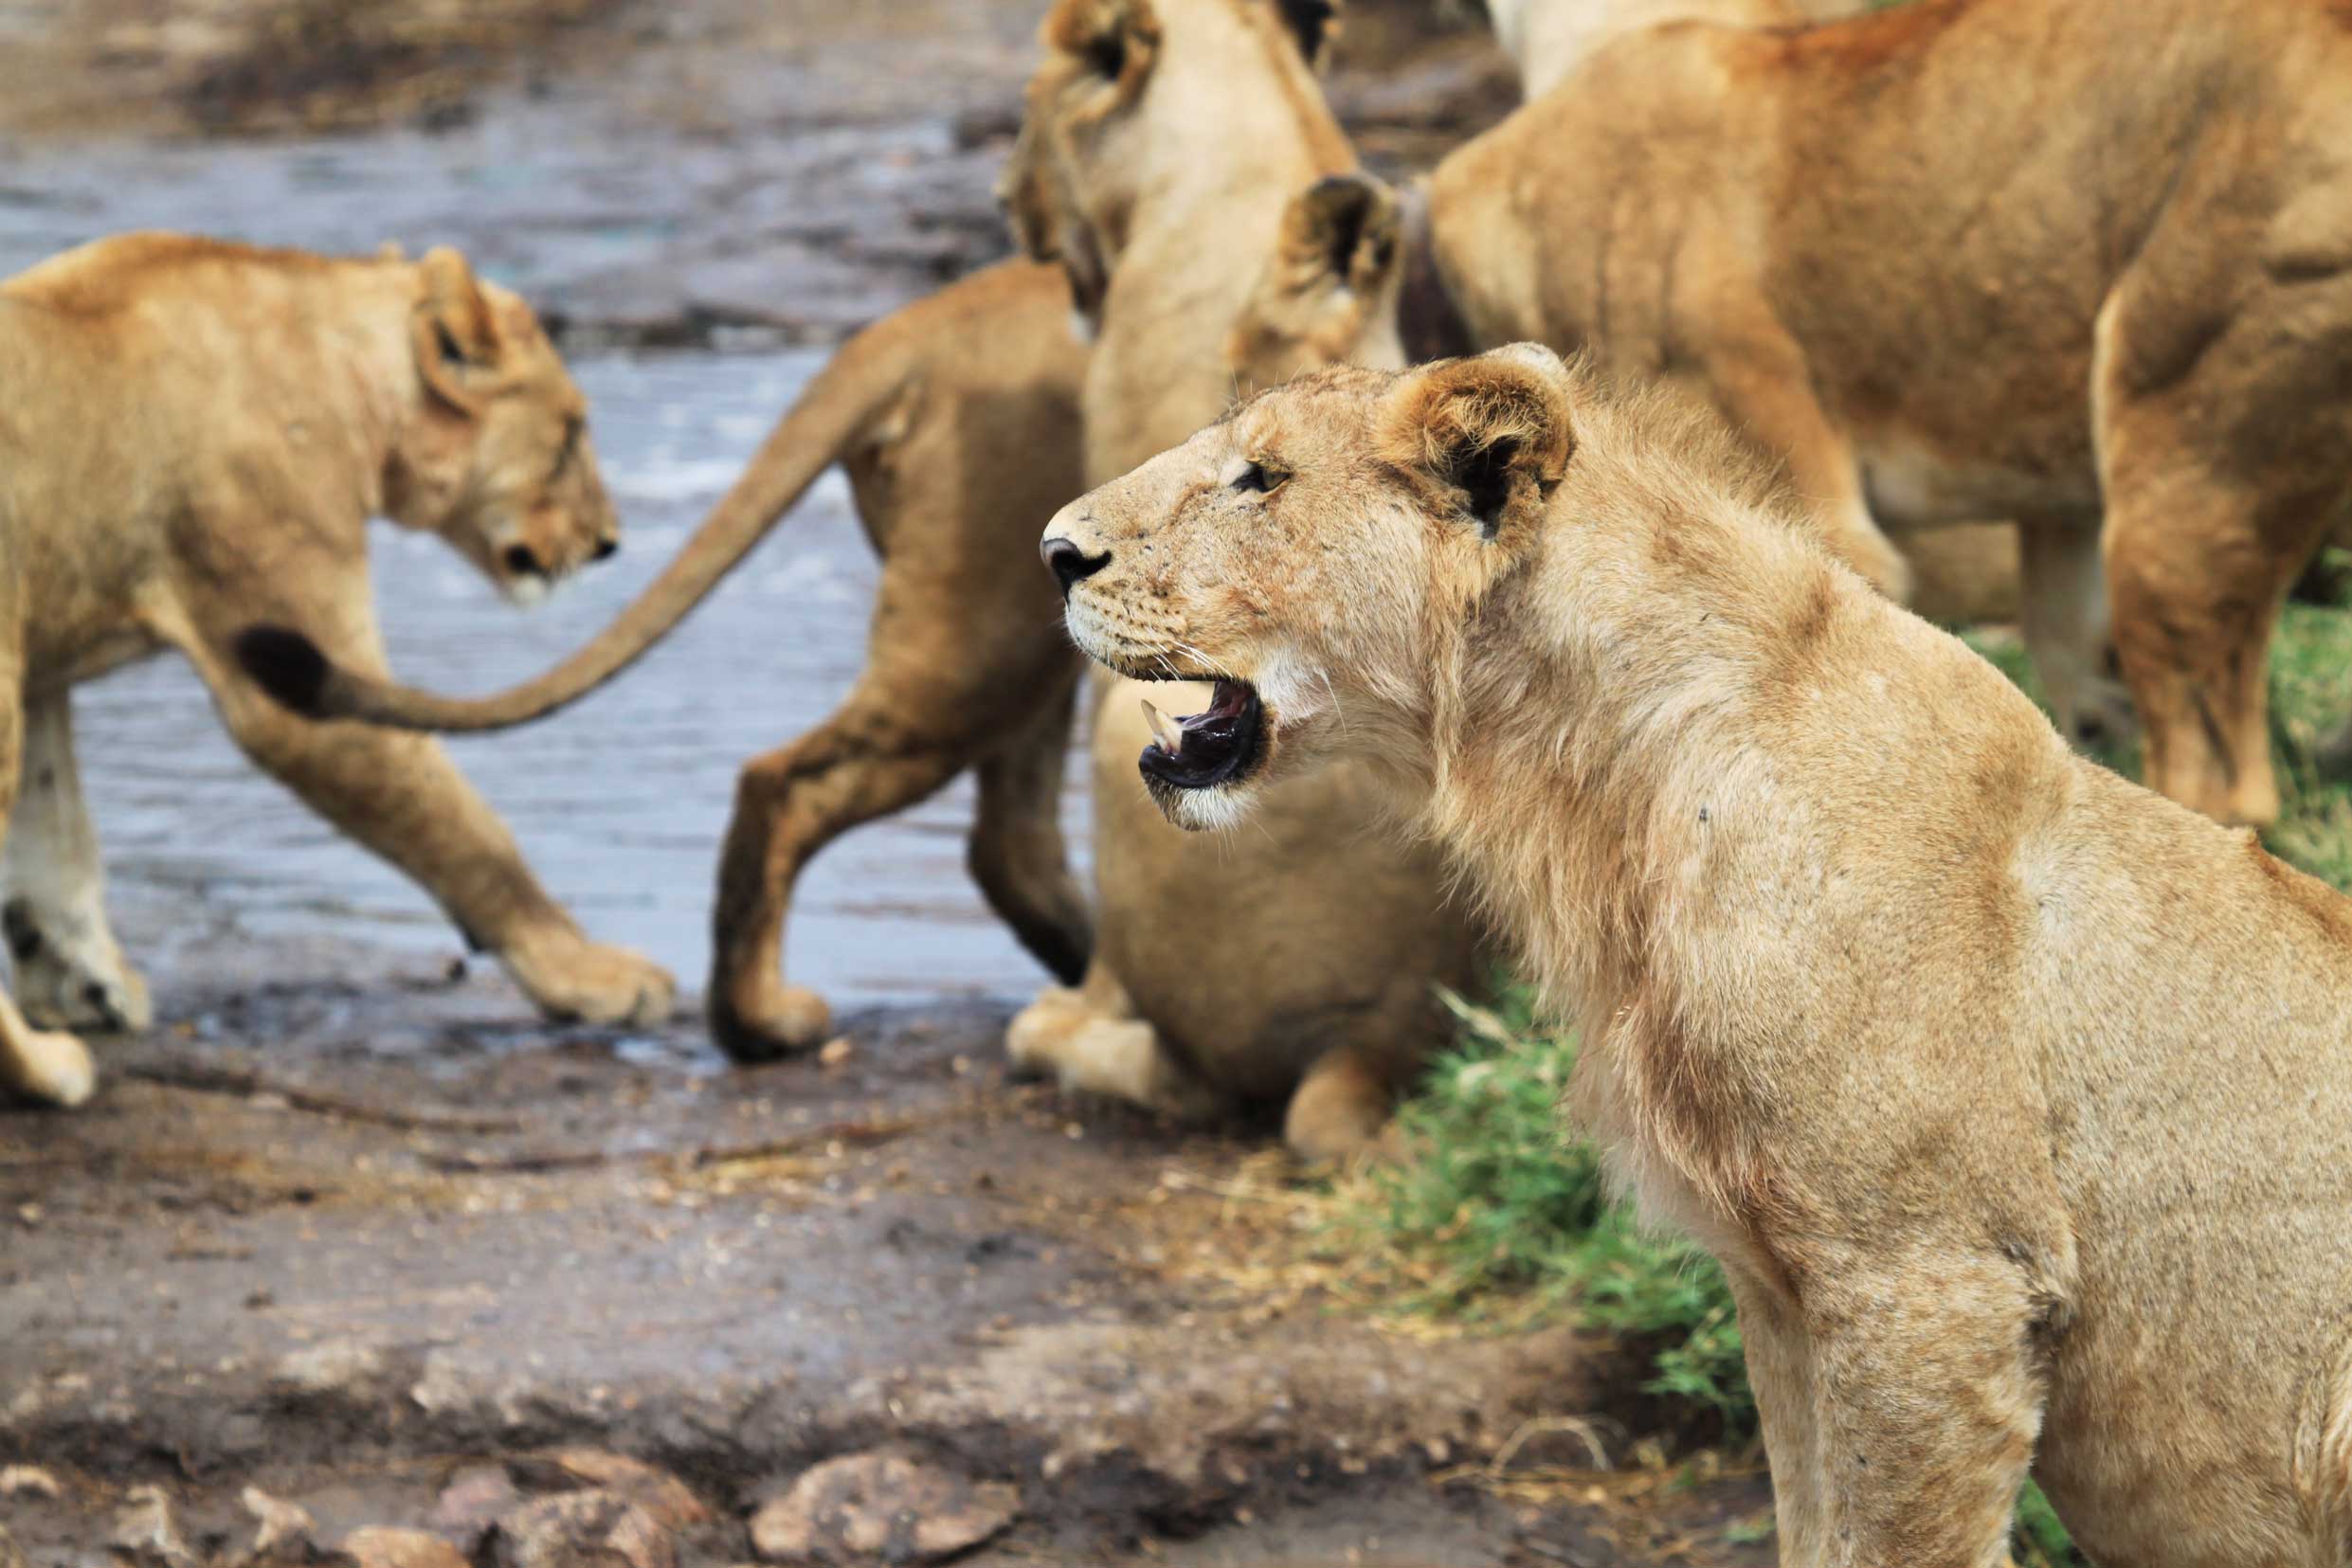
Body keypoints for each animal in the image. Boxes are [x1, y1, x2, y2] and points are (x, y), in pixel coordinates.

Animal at [0, 240, 672, 1109]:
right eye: (571, 432)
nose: (608, 542)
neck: (343, 371)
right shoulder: (287, 648)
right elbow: (469, 832)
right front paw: (597, 977)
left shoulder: (42, 653)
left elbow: (56, 838)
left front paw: (86, 986)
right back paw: (47, 1070)